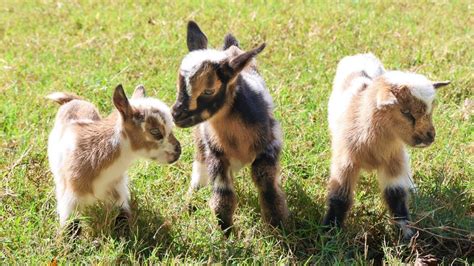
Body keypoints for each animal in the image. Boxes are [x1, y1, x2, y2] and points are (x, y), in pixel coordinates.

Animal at [171, 21, 288, 235]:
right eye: (179, 85)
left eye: (209, 90)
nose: (176, 115)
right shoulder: (215, 154)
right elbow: (223, 193)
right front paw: (226, 230)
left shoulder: (270, 145)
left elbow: (266, 183)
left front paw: (277, 226)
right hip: (200, 140)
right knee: (199, 168)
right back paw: (190, 202)